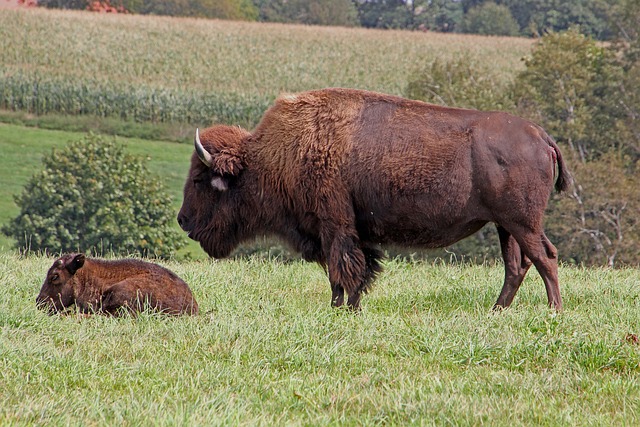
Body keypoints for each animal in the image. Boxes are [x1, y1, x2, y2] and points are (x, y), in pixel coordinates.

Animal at [178, 88, 572, 312]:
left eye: (200, 179)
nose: (182, 220)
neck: (277, 153)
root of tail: (542, 136)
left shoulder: (334, 226)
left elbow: (342, 269)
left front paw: (339, 310)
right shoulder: (353, 232)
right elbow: (361, 268)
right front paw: (349, 307)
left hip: (521, 223)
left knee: (545, 257)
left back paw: (553, 311)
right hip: (507, 226)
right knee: (518, 265)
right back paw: (496, 311)